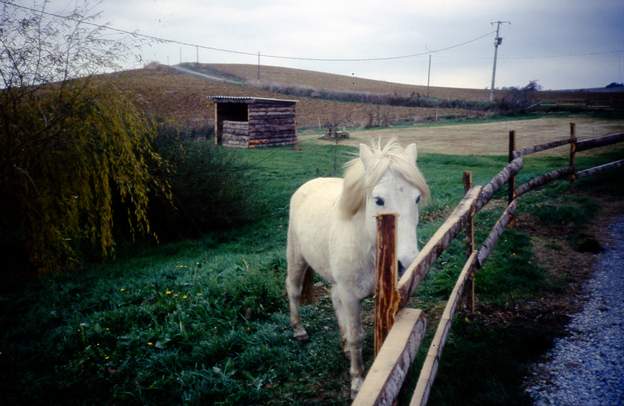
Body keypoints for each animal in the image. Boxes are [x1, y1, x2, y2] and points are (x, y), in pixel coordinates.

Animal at [284, 139, 426, 396]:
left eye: (417, 198)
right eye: (378, 200)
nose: (406, 263)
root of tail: (308, 185)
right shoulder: (351, 297)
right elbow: (357, 337)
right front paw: (358, 381)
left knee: (333, 297)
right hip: (296, 258)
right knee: (294, 290)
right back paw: (299, 330)